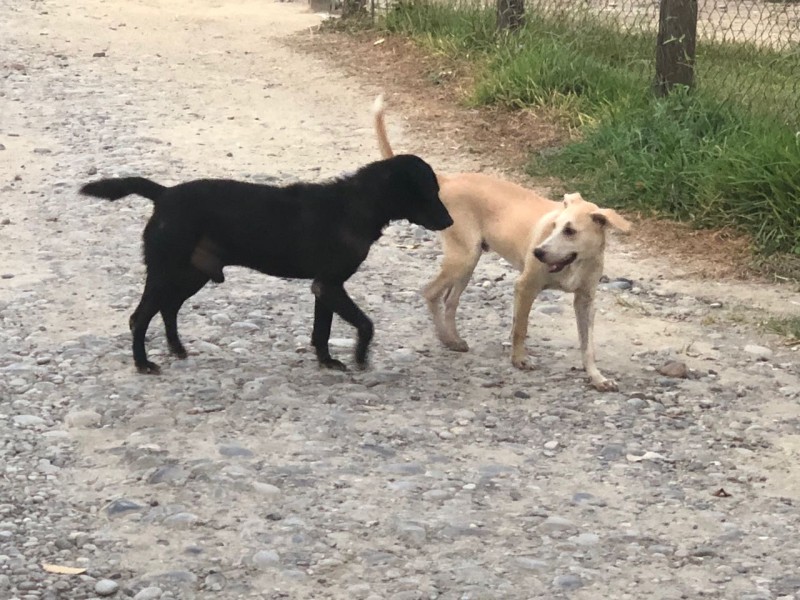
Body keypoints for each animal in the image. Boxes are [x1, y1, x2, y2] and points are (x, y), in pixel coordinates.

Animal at [83, 152, 456, 372]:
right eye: (430, 191)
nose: (450, 221)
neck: (355, 204)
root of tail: (164, 193)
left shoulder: (324, 288)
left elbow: (322, 331)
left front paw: (327, 361)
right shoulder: (330, 285)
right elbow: (365, 324)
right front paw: (360, 358)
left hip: (191, 274)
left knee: (168, 310)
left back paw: (177, 349)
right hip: (166, 272)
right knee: (140, 318)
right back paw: (143, 363)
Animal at [374, 96, 632, 392]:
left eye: (570, 231)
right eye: (554, 226)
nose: (538, 252)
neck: (574, 264)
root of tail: (447, 181)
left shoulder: (585, 300)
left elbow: (587, 345)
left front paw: (597, 377)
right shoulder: (525, 286)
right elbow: (520, 327)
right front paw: (519, 359)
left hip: (468, 262)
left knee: (450, 300)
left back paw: (454, 339)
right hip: (463, 257)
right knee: (431, 293)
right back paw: (446, 338)